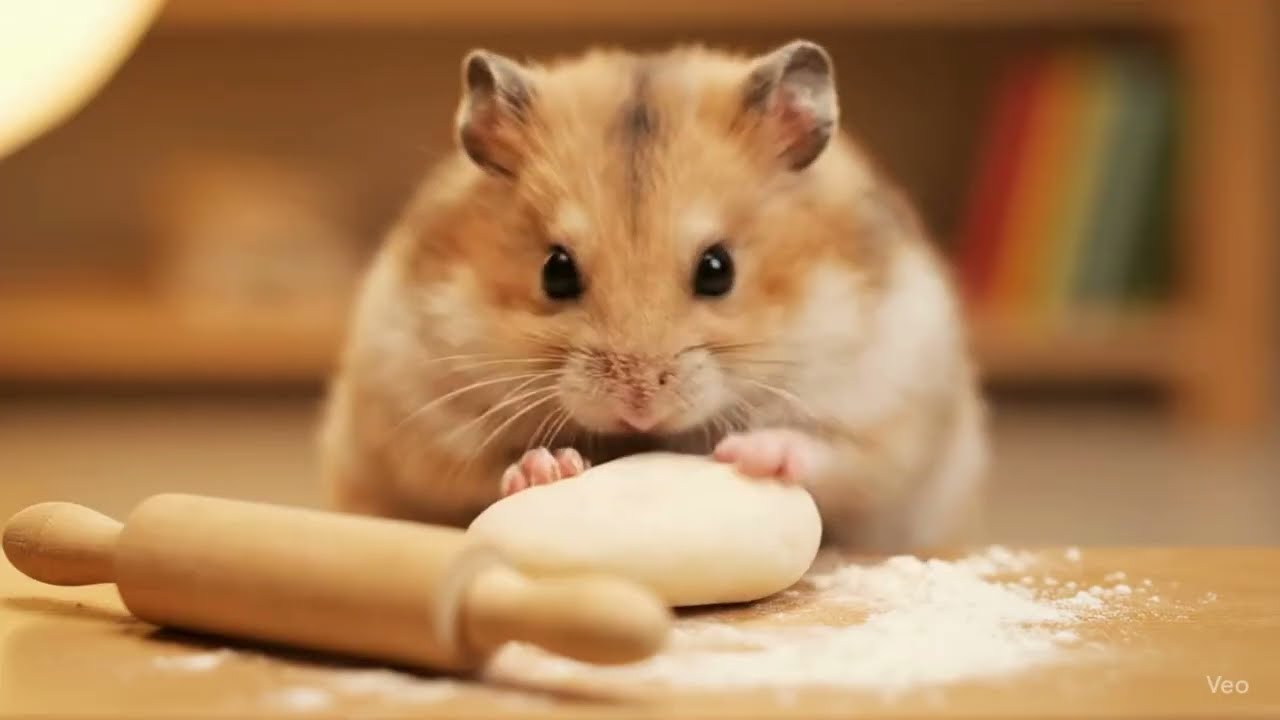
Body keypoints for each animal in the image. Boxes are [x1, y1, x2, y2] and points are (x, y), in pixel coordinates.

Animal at [319, 40, 988, 551]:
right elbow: (479, 470)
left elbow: (835, 456)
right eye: (555, 272)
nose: (637, 405)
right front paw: (549, 466)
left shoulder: (891, 415)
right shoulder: (421, 423)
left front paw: (753, 454)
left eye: (718, 270)